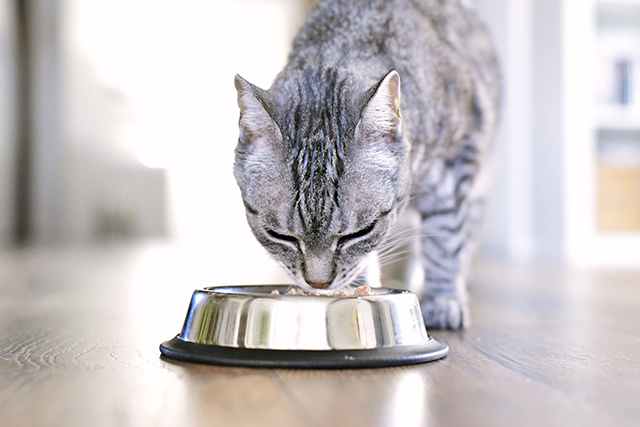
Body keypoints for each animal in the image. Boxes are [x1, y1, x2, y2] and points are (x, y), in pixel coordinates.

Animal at [234, 0, 500, 332]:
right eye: (279, 235)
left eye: (359, 233)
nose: (319, 285)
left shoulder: (454, 162)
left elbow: (445, 239)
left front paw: (444, 299)